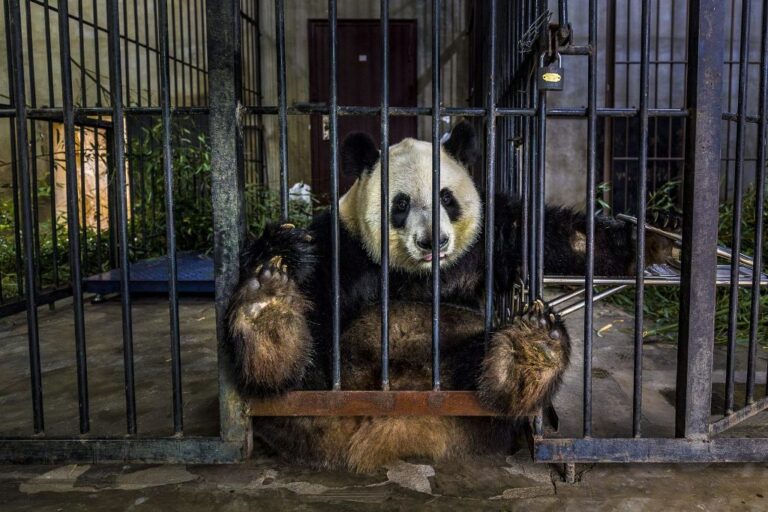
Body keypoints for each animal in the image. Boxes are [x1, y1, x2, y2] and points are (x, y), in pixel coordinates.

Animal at [226, 122, 675, 472]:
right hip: (328, 383)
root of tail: (400, 427)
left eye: (446, 197)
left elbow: (562, 240)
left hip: (462, 374)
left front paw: (649, 241)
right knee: (299, 374)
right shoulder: (346, 243)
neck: (420, 272)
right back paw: (268, 320)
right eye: (400, 203)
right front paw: (282, 249)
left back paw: (528, 355)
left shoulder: (493, 235)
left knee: (486, 380)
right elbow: (315, 277)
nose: (433, 241)